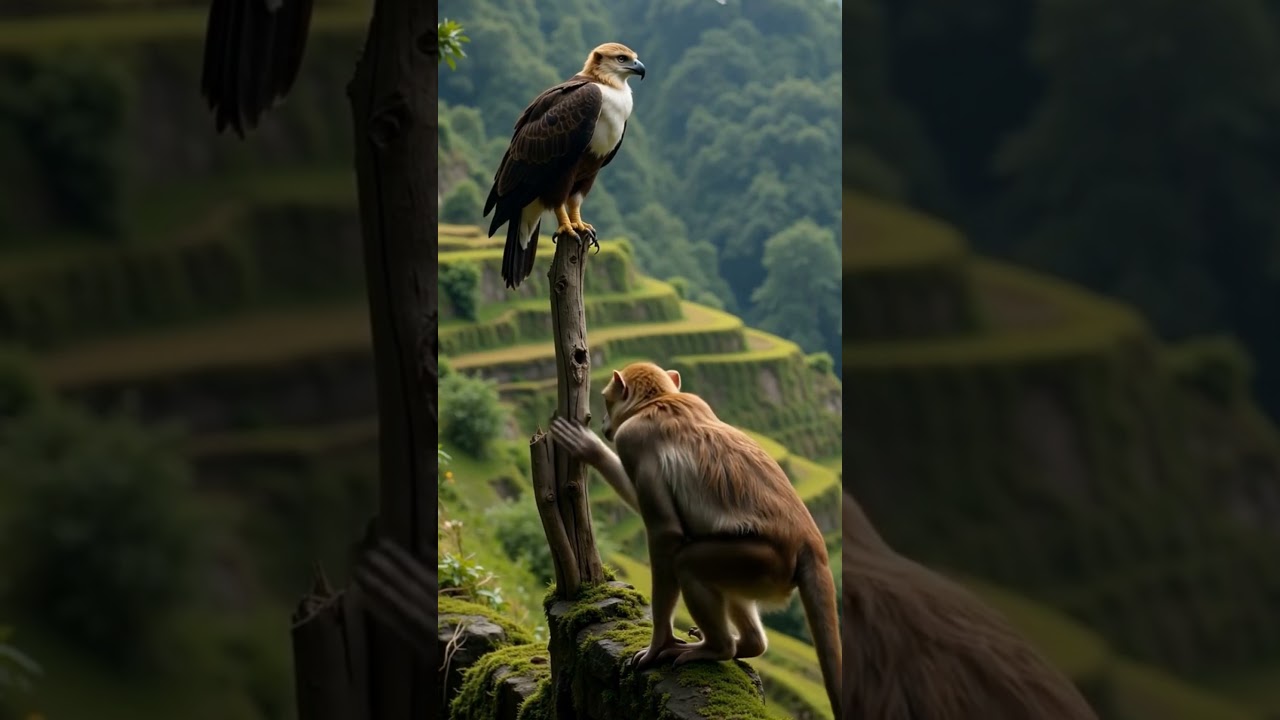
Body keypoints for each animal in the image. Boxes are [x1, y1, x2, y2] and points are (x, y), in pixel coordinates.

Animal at [548, 361, 841, 718]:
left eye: (606, 400)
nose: (604, 422)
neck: (659, 401)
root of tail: (812, 544)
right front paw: (589, 450)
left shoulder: (633, 439)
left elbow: (666, 532)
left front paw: (657, 645)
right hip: (761, 572)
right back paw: (747, 644)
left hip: (765, 564)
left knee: (686, 563)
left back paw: (718, 648)